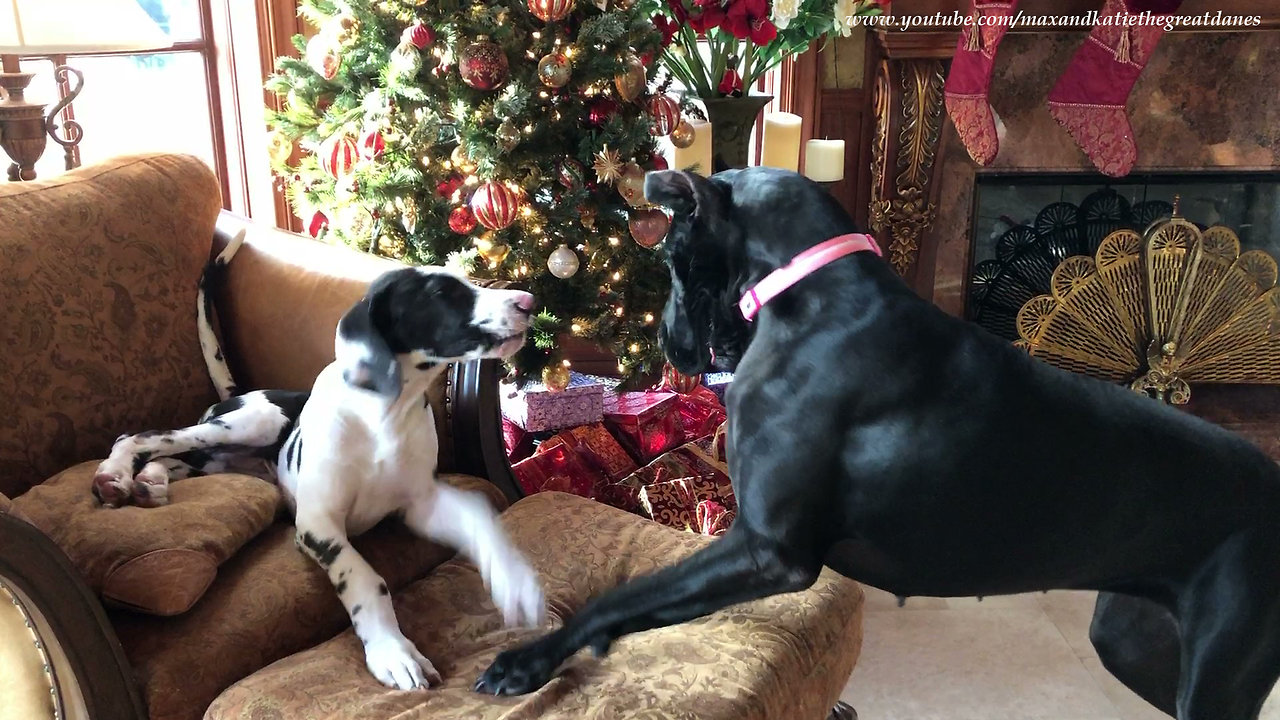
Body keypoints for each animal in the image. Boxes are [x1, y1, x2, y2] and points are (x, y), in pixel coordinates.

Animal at [93, 230, 545, 691]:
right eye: (440, 294)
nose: (528, 301)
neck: (383, 415)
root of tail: (238, 394)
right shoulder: (317, 524)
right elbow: (365, 577)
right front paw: (393, 651)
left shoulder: (421, 505)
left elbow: (480, 517)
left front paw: (515, 581)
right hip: (251, 423)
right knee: (147, 437)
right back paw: (114, 475)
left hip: (224, 460)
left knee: (177, 460)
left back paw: (148, 484)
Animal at [476, 166, 1280, 717]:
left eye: (672, 254)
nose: (669, 346)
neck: (814, 291)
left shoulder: (770, 550)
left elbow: (620, 596)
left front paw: (529, 661)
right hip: (1135, 644)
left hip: (1213, 666)